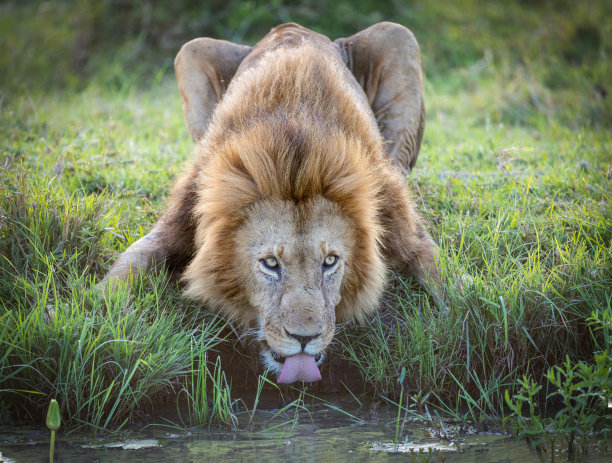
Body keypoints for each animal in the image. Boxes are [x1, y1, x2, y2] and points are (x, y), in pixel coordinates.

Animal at [103, 21, 442, 384]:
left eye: (330, 261)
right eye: (270, 263)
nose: (305, 339)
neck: (294, 155)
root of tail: (290, 26)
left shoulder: (399, 222)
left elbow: (440, 271)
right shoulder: (183, 215)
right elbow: (131, 260)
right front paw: (104, 314)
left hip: (397, 37)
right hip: (192, 51)